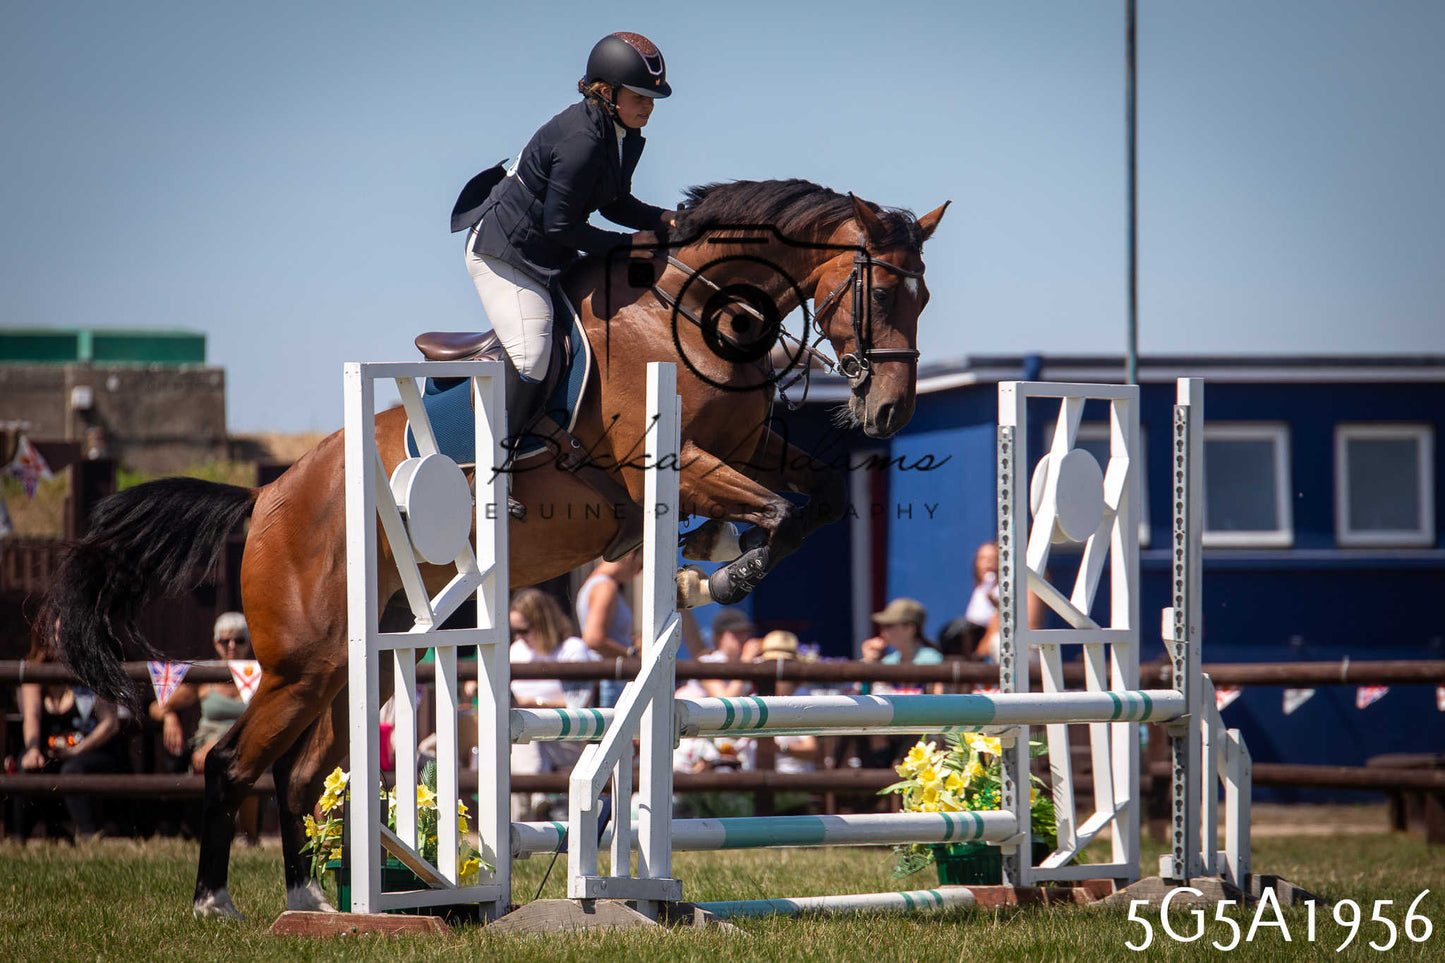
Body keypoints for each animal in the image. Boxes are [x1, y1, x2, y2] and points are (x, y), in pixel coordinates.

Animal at [41, 178, 948, 919]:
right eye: (880, 288)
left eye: (925, 296)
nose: (890, 412)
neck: (692, 311)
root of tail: (265, 495)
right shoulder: (673, 461)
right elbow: (778, 513)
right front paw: (717, 576)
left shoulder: (750, 446)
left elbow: (814, 500)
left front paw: (717, 559)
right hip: (301, 661)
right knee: (229, 764)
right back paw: (217, 904)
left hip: (357, 664)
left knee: (297, 775)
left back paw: (315, 903)